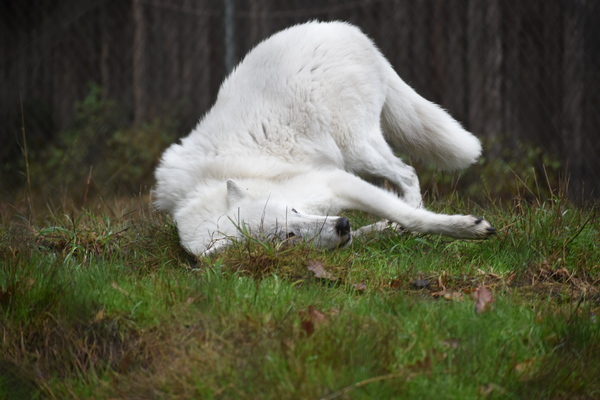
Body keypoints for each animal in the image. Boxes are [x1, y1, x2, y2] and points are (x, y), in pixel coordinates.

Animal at [154, 21, 495, 257]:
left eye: (292, 210)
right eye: (288, 236)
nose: (342, 225)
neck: (201, 191)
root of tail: (348, 31)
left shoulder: (334, 182)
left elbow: (410, 217)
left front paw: (467, 228)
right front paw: (376, 231)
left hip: (357, 153)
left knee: (408, 174)